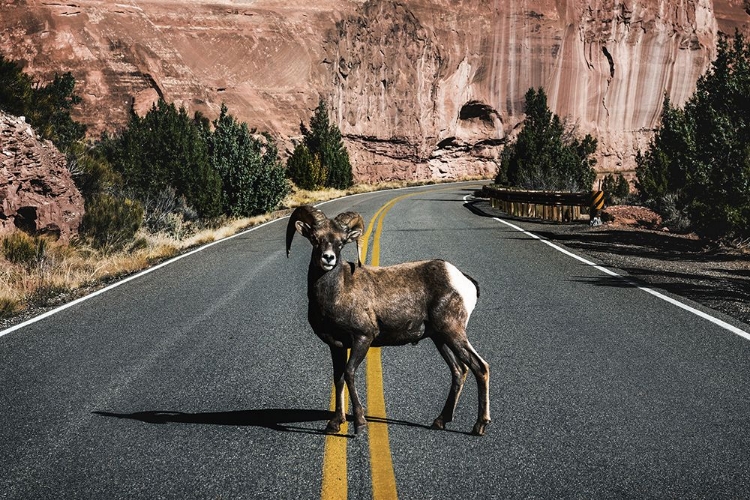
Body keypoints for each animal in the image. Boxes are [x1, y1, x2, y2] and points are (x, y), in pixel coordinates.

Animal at [284, 205, 490, 436]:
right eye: (315, 238)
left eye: (341, 241)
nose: (328, 259)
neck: (337, 292)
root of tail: (463, 280)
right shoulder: (336, 345)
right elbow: (338, 378)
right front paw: (335, 424)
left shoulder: (363, 338)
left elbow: (349, 373)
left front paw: (360, 424)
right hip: (440, 339)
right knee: (459, 370)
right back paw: (440, 421)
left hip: (453, 332)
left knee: (480, 367)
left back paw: (479, 425)